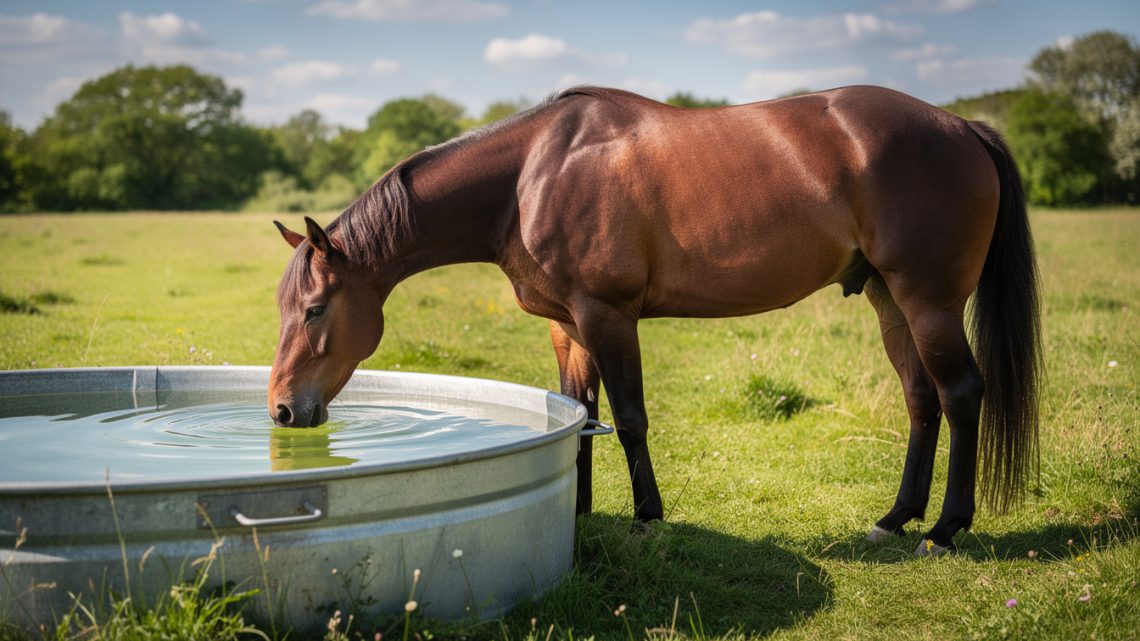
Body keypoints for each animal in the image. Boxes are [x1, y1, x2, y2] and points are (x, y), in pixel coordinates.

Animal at [268, 85, 1041, 555]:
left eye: (315, 307)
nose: (280, 409)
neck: (530, 174)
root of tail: (963, 127)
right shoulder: (568, 325)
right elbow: (577, 415)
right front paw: (579, 511)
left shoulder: (608, 315)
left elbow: (630, 418)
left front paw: (646, 515)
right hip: (888, 299)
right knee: (921, 399)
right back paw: (895, 518)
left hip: (928, 300)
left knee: (960, 394)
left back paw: (945, 527)